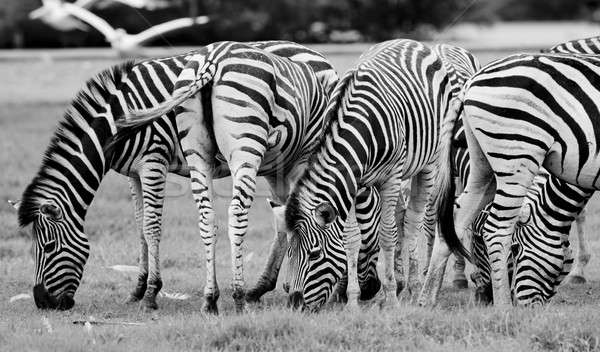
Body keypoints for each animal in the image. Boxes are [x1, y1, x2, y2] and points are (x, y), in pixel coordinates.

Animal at [12, 40, 338, 310]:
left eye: (48, 247)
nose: (43, 303)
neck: (116, 120)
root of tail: (319, 55)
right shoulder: (133, 173)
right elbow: (140, 227)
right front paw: (137, 289)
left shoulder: (153, 161)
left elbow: (152, 227)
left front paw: (151, 293)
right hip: (276, 162)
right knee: (283, 218)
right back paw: (262, 288)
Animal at [268, 39, 464, 310]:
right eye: (289, 253)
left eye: (315, 254)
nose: (295, 305)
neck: (359, 129)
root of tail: (409, 41)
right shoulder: (353, 183)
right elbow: (351, 240)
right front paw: (352, 301)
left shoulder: (391, 178)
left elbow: (387, 235)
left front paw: (391, 298)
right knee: (402, 218)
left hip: (428, 164)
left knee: (412, 222)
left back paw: (414, 287)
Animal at [440, 51, 600, 306]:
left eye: (515, 251)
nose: (484, 298)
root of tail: (471, 81)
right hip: (517, 151)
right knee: (496, 228)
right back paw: (504, 308)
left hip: (483, 162)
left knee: (456, 217)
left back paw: (425, 298)